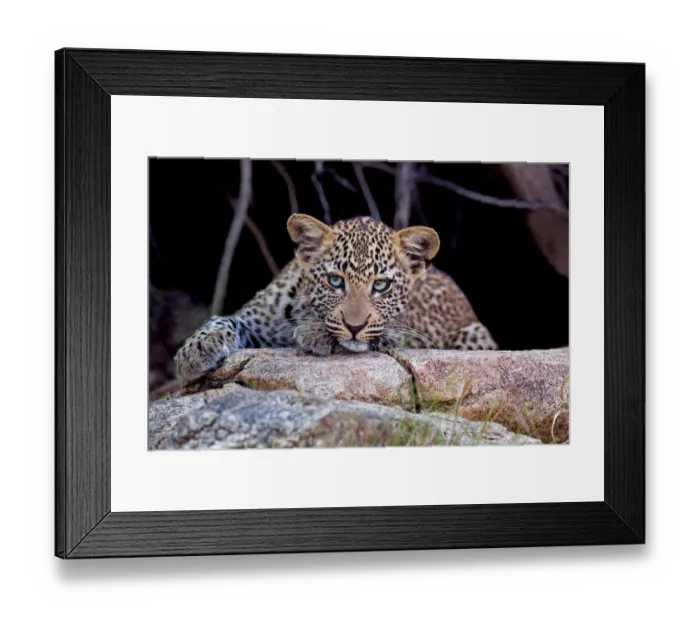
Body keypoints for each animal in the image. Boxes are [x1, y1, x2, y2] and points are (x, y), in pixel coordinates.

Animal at [174, 214, 498, 381]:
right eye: (335, 281)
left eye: (381, 285)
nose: (354, 326)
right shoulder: (253, 319)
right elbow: (224, 320)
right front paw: (195, 350)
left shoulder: (405, 333)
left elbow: (378, 336)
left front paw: (314, 332)